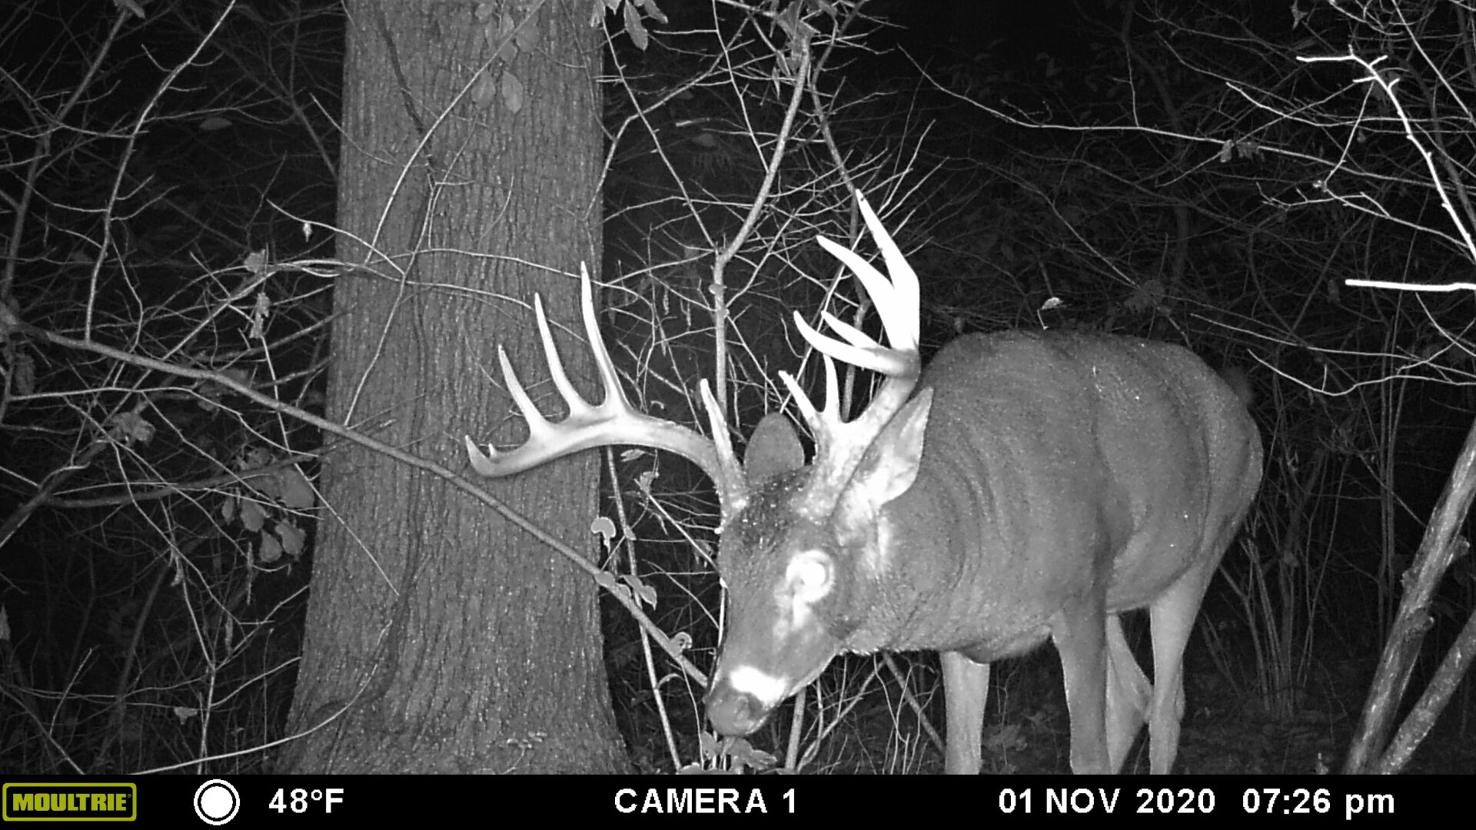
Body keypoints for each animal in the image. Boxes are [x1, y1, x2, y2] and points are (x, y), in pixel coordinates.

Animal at [464, 193, 1263, 774]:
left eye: (816, 570)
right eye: (723, 570)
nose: (727, 711)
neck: (974, 522)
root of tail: (1245, 417)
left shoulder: (1077, 595)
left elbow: (1086, 755)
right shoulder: (968, 642)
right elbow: (963, 758)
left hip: (1198, 554)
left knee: (1169, 703)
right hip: (1121, 596)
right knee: (1139, 694)